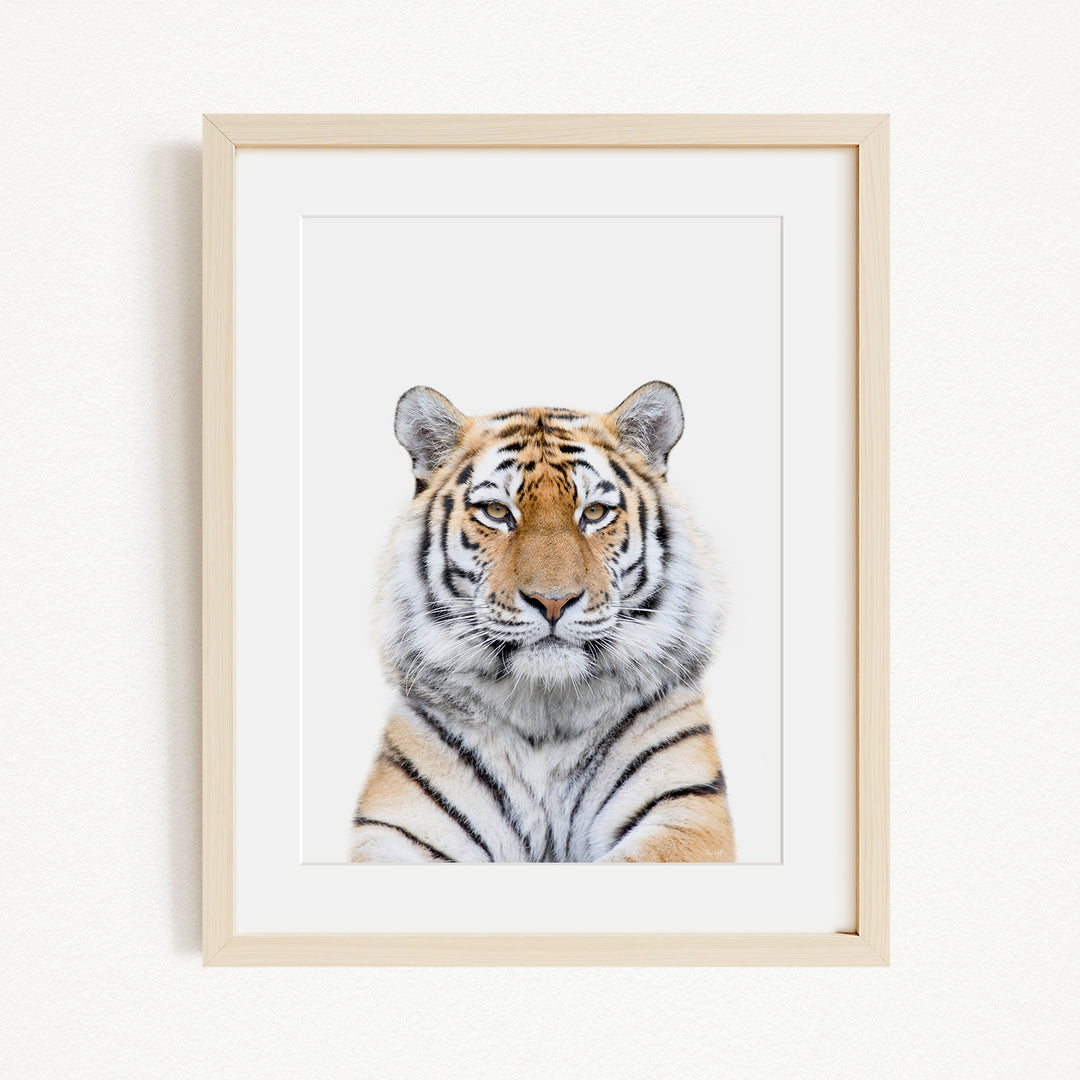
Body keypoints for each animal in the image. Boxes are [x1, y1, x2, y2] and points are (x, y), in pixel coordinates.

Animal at [348, 381, 735, 863]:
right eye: (496, 512)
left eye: (594, 513)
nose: (553, 601)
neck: (545, 717)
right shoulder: (396, 827)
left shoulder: (686, 811)